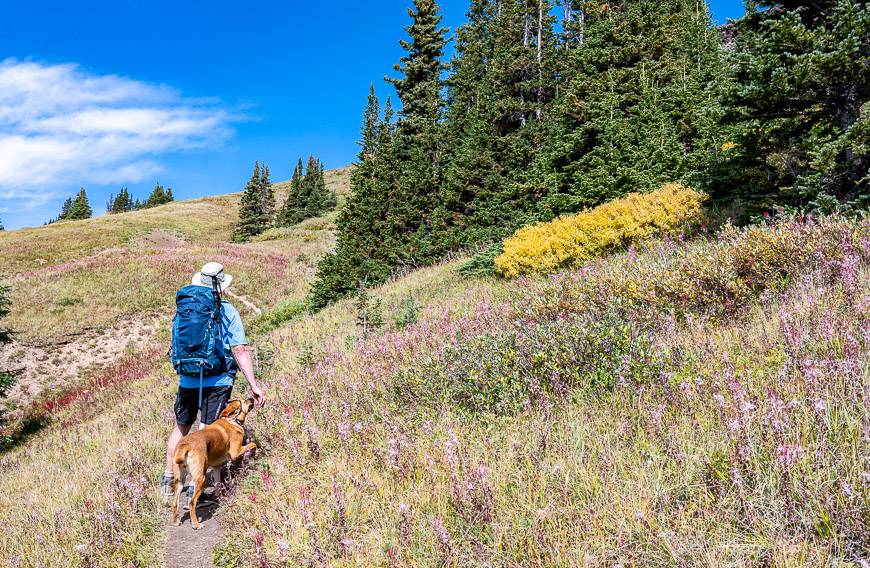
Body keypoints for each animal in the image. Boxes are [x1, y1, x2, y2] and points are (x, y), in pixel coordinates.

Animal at [171, 400, 258, 528]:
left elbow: (217, 485)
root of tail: (185, 446)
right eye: (244, 401)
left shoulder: (217, 468)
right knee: (192, 502)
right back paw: (196, 524)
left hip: (179, 481)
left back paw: (176, 521)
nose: (252, 398)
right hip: (200, 479)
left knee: (174, 502)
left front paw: (220, 498)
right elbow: (252, 444)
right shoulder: (235, 452)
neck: (231, 419)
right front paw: (255, 453)